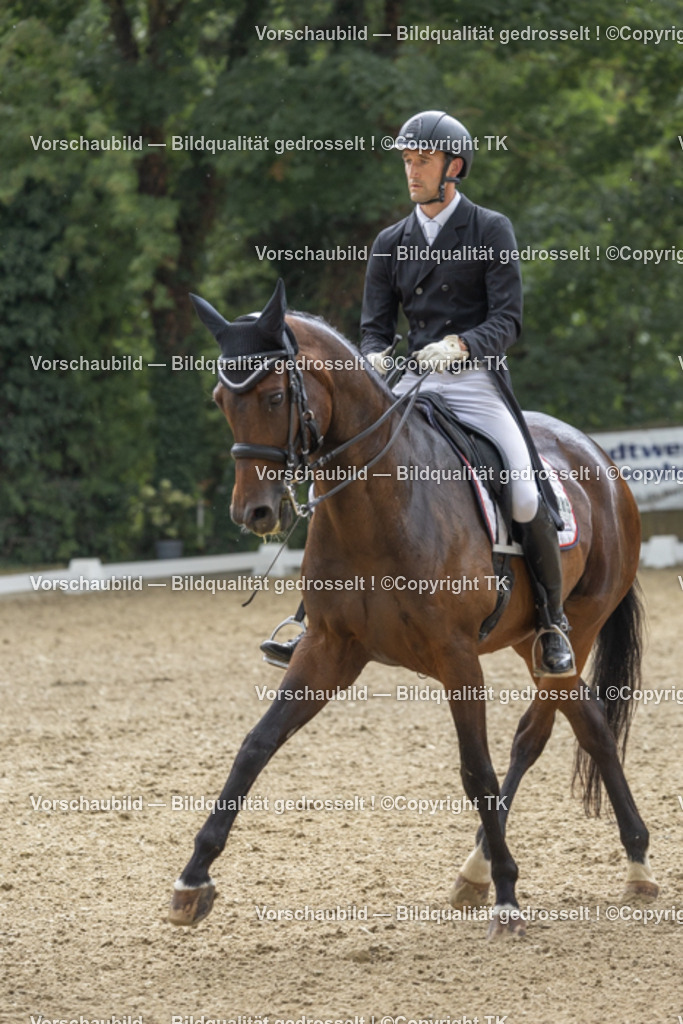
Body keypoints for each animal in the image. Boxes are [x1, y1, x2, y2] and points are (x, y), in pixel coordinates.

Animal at [168, 278, 658, 937]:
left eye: (273, 395)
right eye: (221, 398)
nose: (254, 513)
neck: (378, 503)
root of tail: (602, 462)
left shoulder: (456, 657)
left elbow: (475, 770)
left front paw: (509, 895)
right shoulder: (329, 650)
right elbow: (256, 746)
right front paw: (193, 880)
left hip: (572, 631)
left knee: (539, 731)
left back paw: (549, 868)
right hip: (536, 642)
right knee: (589, 725)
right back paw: (569, 865)